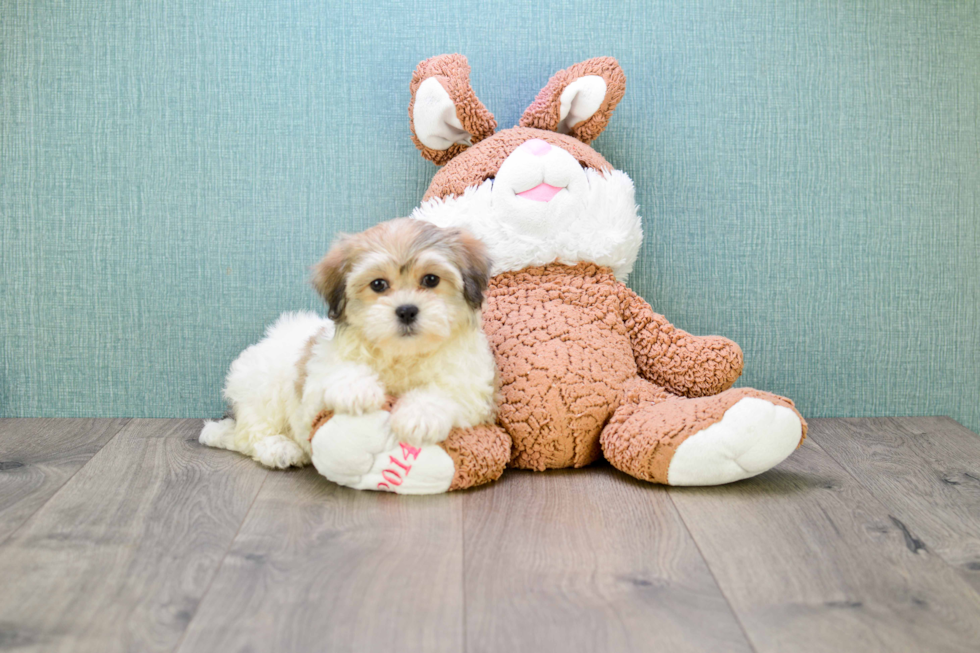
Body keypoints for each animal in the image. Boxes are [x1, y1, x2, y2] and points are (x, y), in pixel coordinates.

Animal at [204, 219, 502, 468]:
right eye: (378, 284)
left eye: (431, 279)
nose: (406, 310)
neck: (402, 356)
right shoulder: (316, 375)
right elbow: (336, 370)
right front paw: (357, 390)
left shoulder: (473, 388)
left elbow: (447, 391)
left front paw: (419, 416)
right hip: (262, 388)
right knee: (248, 434)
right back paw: (278, 448)